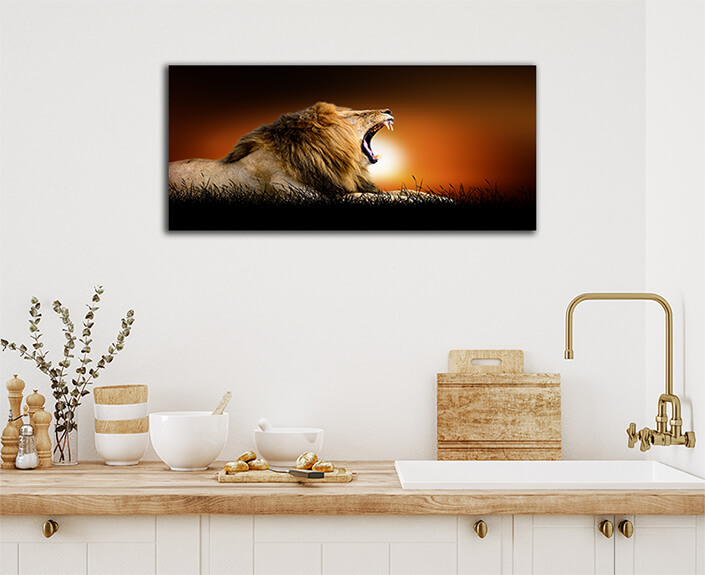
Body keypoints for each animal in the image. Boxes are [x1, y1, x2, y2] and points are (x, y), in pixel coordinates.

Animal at [168, 101, 444, 203]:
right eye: (359, 114)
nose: (387, 109)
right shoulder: (319, 199)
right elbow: (373, 198)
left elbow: (400, 191)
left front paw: (436, 198)